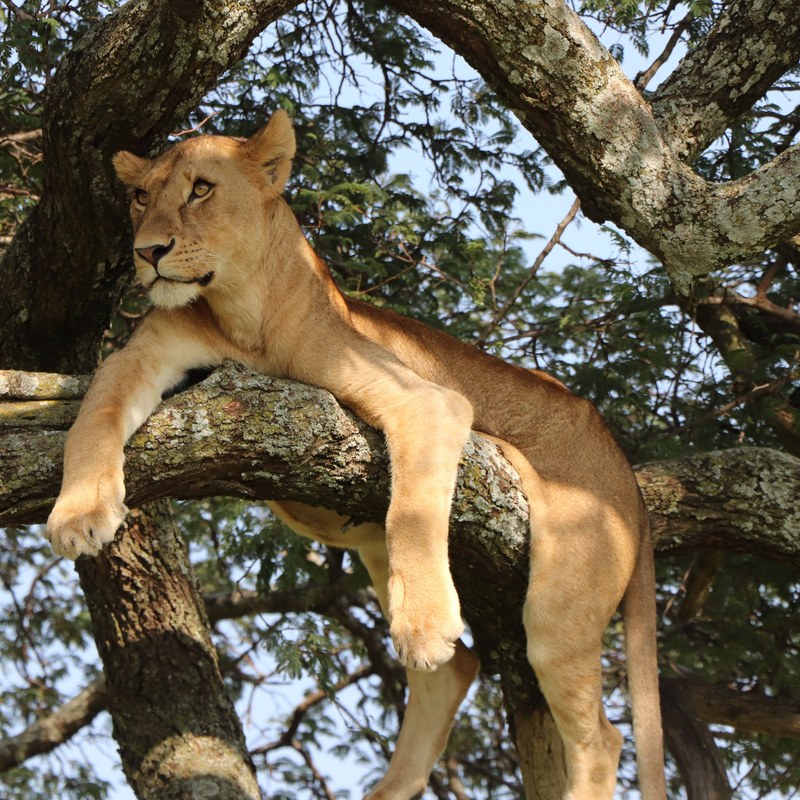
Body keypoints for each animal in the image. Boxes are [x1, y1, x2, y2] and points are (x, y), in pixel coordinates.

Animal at [46, 110, 666, 800]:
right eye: (139, 196)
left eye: (201, 189)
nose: (147, 252)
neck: (239, 314)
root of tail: (622, 466)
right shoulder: (140, 357)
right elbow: (94, 416)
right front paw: (78, 515)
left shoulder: (428, 401)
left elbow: (412, 515)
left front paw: (424, 626)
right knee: (453, 674)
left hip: (564, 593)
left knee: (600, 737)